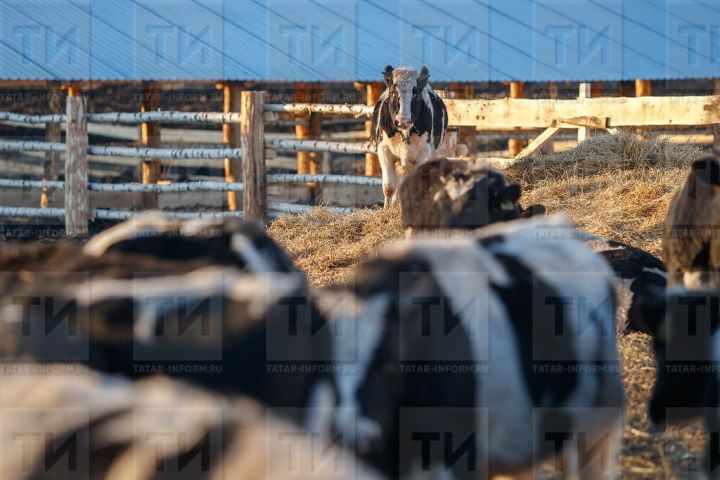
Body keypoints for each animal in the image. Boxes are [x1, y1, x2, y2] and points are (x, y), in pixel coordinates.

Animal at [374, 64, 448, 207]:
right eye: (393, 92)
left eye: (416, 93)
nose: (403, 121)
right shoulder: (383, 150)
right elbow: (389, 186)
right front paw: (386, 209)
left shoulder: (423, 154)